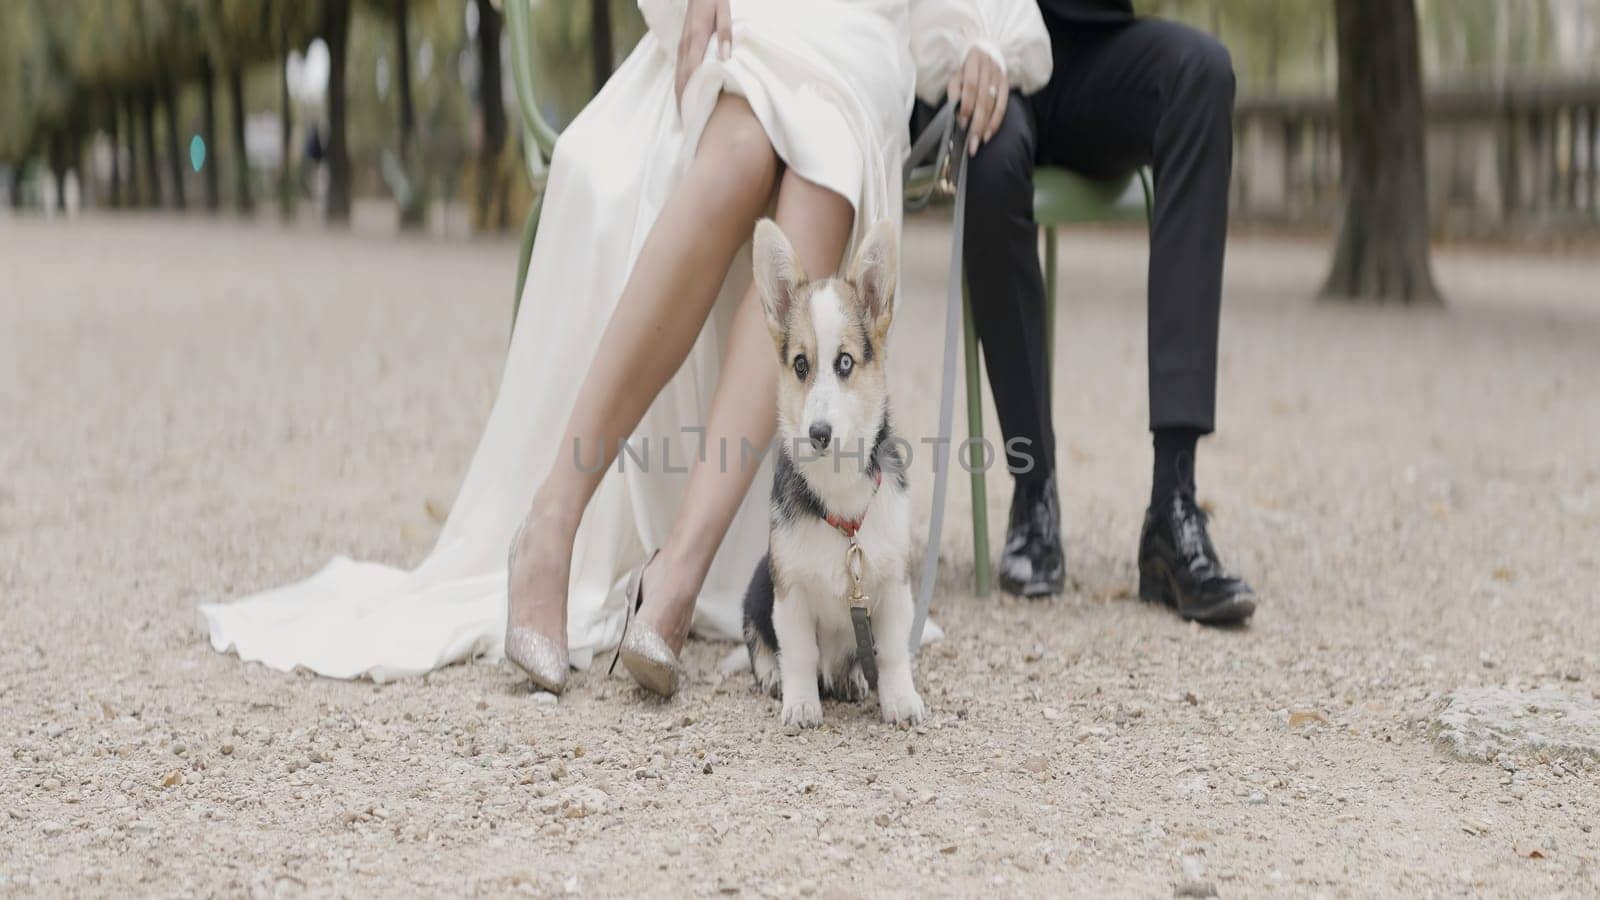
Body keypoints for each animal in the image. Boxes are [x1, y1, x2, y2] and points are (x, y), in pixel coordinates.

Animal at [739, 219, 928, 730]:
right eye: (801, 364)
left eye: (845, 362)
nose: (818, 433)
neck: (838, 482)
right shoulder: (790, 593)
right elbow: (799, 654)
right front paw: (801, 703)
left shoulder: (892, 585)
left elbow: (893, 655)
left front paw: (900, 701)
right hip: (758, 582)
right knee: (760, 643)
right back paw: (774, 676)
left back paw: (851, 680)